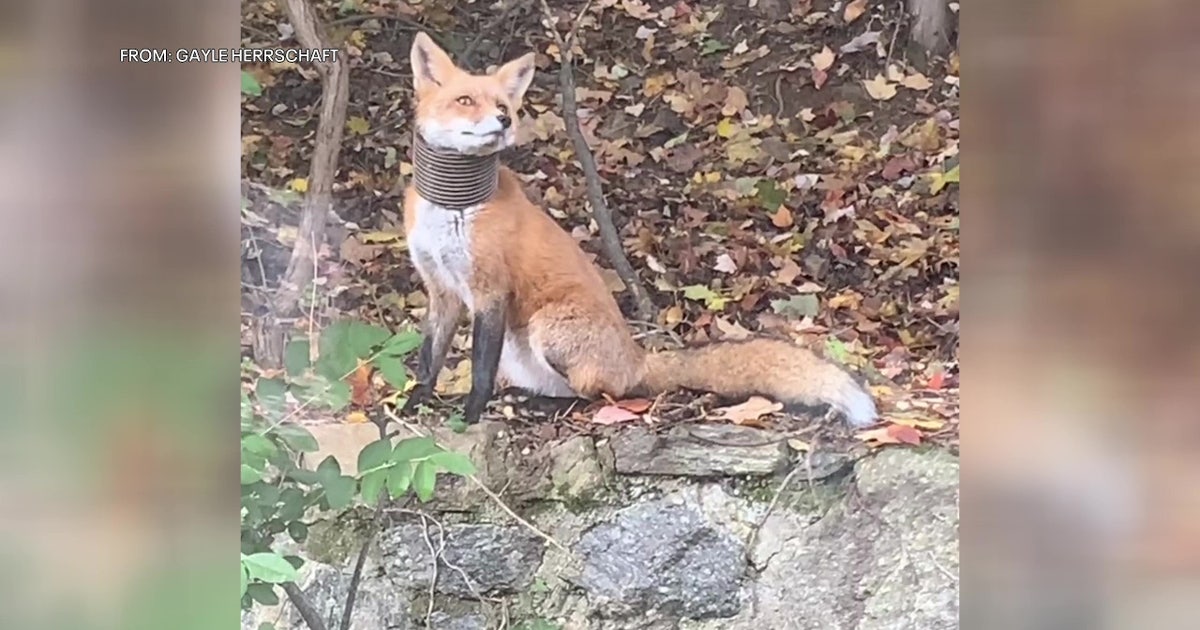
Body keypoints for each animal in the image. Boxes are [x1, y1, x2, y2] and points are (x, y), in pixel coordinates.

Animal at [398, 32, 878, 428]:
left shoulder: (490, 289)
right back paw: (522, 398)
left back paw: (540, 406)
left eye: (503, 105)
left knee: (597, 395)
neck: (452, 205)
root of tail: (638, 357)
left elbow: (479, 368)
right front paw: (417, 400)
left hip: (548, 328)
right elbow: (429, 356)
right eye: (465, 100)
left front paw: (471, 413)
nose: (503, 121)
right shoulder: (441, 288)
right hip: (521, 353)